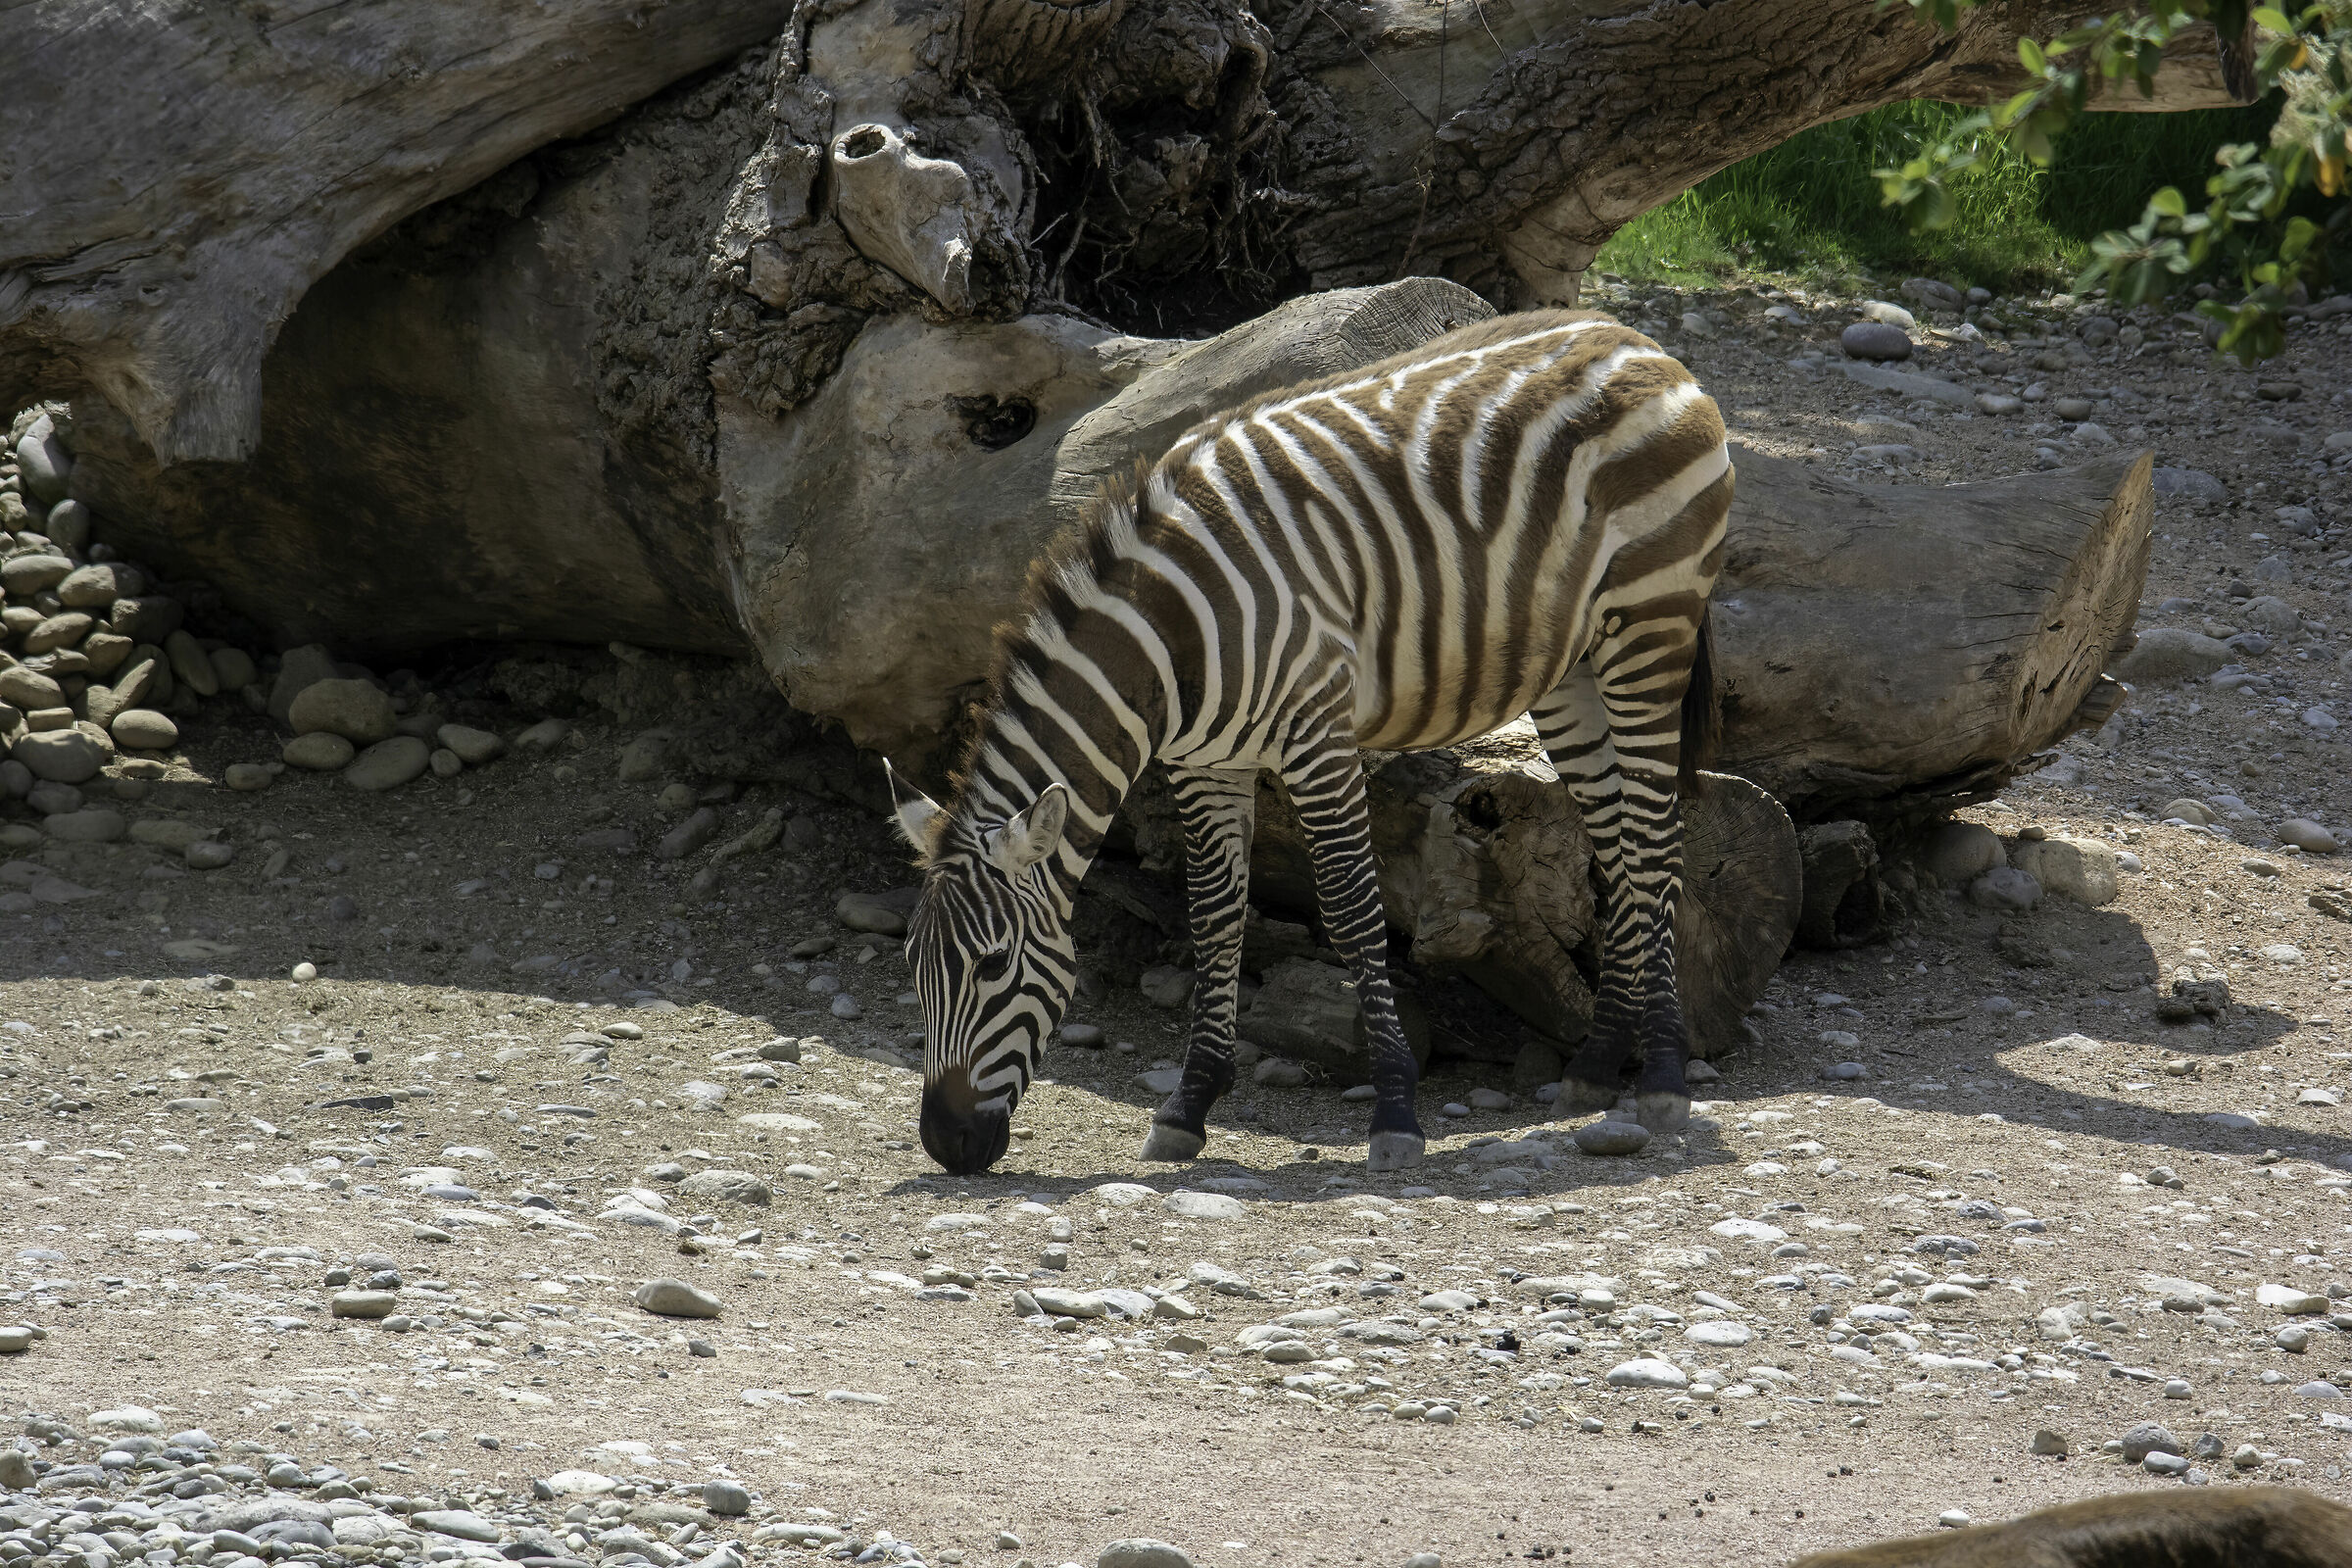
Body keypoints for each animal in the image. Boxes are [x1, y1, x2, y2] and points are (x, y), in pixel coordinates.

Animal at [888, 308, 1733, 1177]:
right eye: (914, 967)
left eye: (993, 966)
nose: (947, 1144)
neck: (1174, 636)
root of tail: (1632, 336)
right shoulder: (1204, 764)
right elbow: (1214, 918)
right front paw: (1189, 1106)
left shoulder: (1317, 739)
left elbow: (1352, 910)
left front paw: (1395, 1110)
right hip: (1573, 669)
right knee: (1616, 844)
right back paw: (1597, 1067)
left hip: (1651, 627)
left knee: (1655, 844)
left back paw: (1664, 1078)